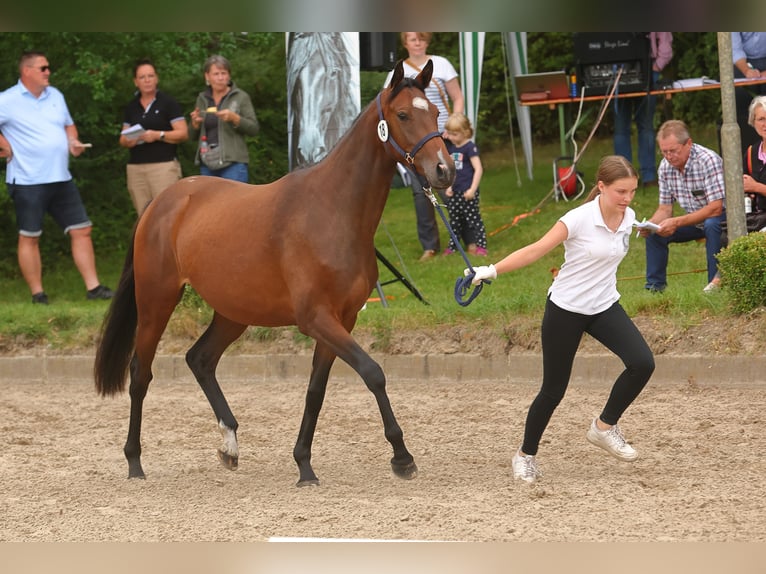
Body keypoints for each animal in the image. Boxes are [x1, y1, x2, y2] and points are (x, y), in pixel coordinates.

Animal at [95, 60, 456, 488]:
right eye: (402, 115)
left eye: (434, 111)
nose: (445, 170)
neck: (334, 210)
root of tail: (160, 203)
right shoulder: (317, 318)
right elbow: (373, 373)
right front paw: (402, 457)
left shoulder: (342, 320)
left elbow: (316, 391)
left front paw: (304, 465)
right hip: (157, 302)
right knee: (140, 373)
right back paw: (134, 462)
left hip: (233, 313)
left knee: (200, 359)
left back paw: (229, 445)